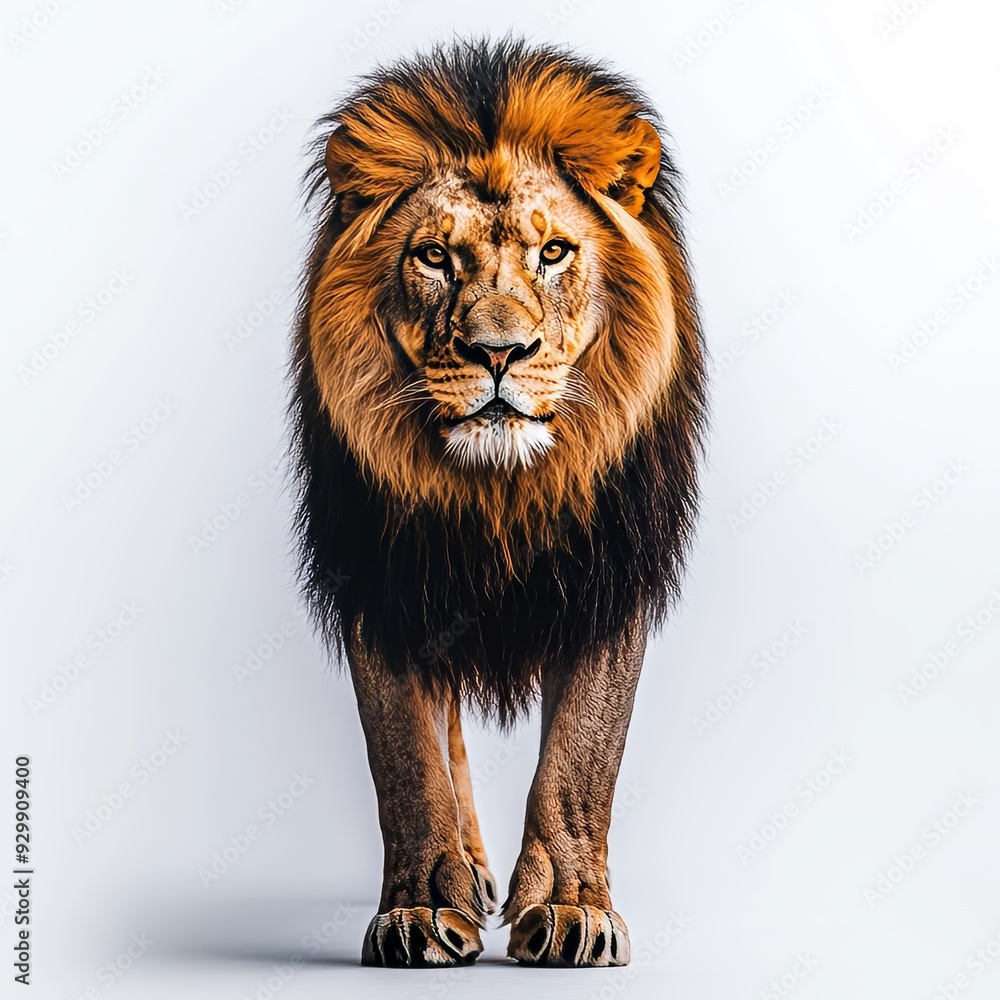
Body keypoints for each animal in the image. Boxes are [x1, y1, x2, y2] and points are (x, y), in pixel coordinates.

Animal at [288, 38, 706, 968]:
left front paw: (574, 910)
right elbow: (408, 758)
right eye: (435, 258)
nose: (498, 352)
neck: (499, 493)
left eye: (552, 253)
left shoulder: (608, 576)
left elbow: (582, 760)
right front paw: (417, 911)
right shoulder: (382, 580)